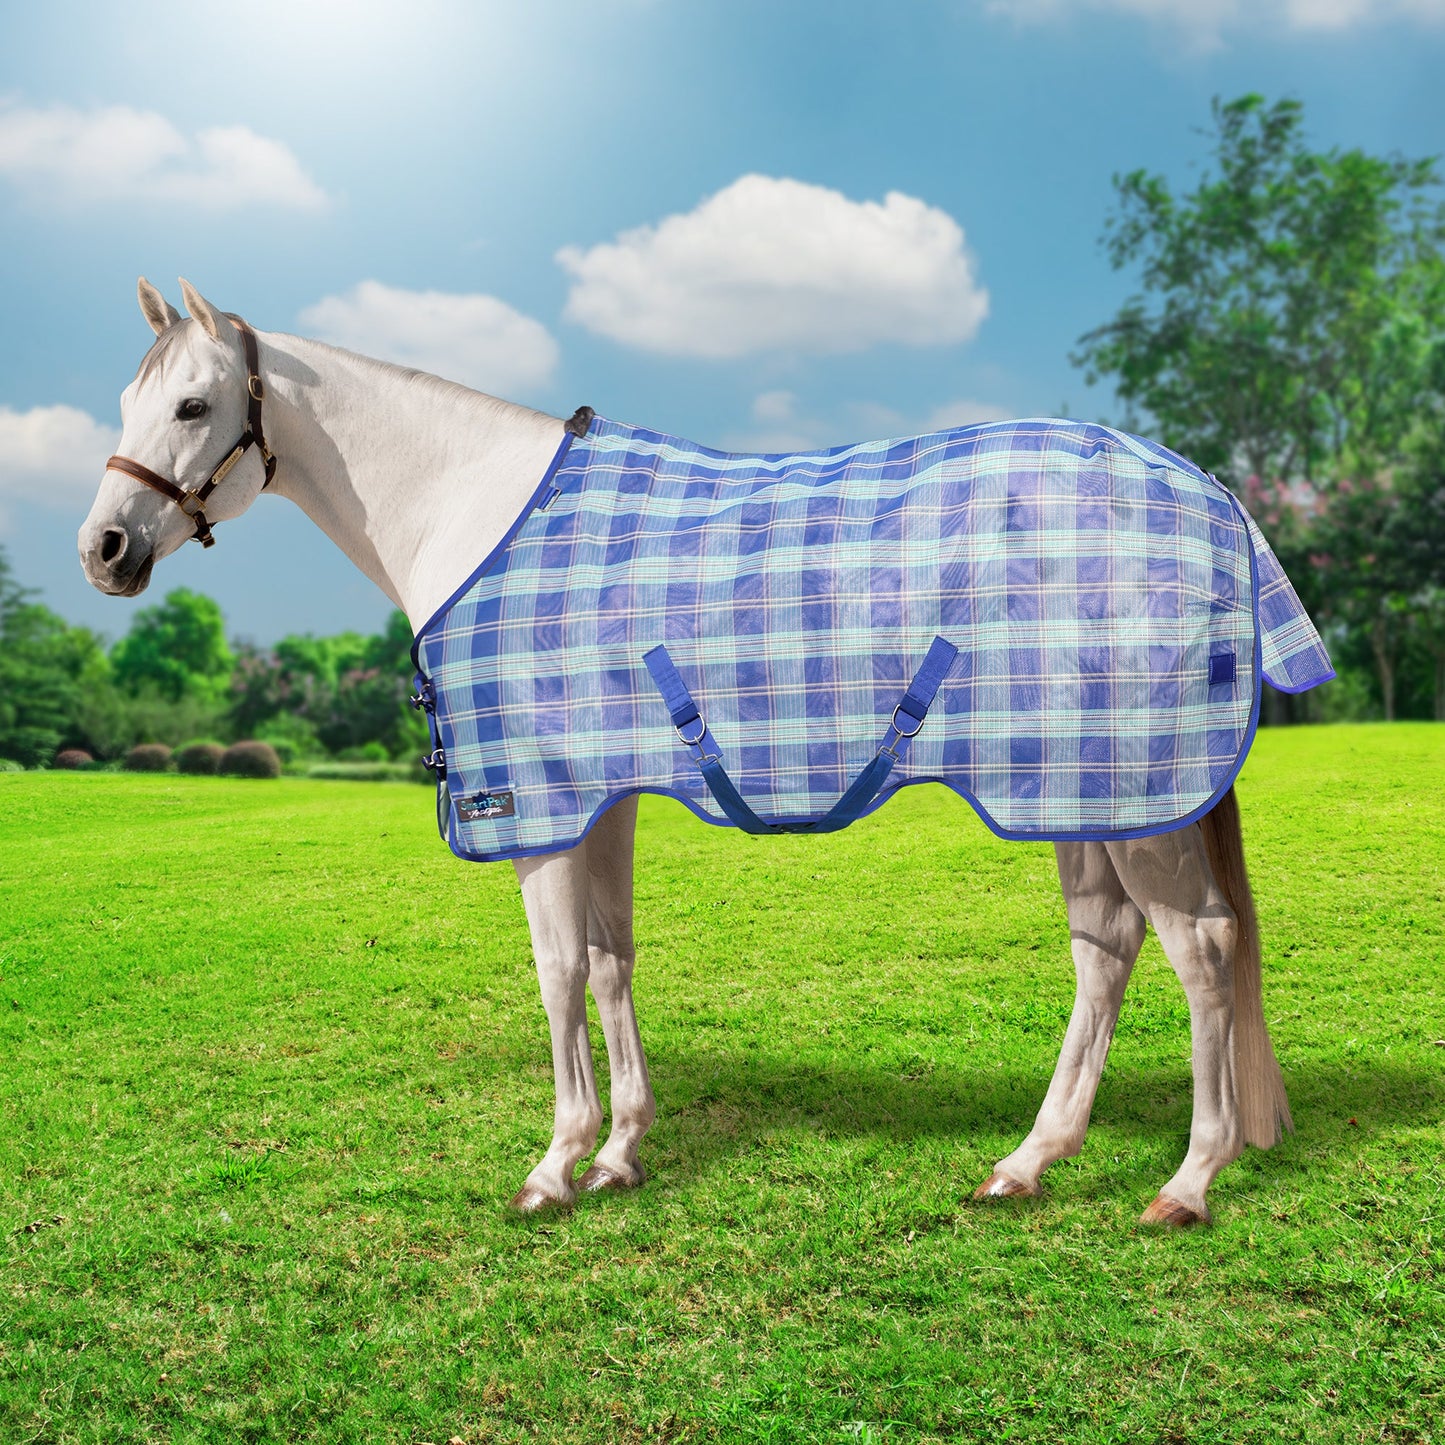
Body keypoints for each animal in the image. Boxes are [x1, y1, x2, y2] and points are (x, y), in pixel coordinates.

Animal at [80, 278, 1326, 1226]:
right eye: (130, 397)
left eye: (193, 402)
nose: (104, 548)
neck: (477, 513)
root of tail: (1211, 490)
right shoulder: (605, 795)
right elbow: (613, 959)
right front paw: (621, 1151)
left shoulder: (535, 803)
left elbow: (558, 971)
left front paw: (554, 1164)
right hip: (1076, 789)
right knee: (1105, 948)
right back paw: (1028, 1159)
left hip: (1134, 796)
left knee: (1201, 951)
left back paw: (1186, 1180)